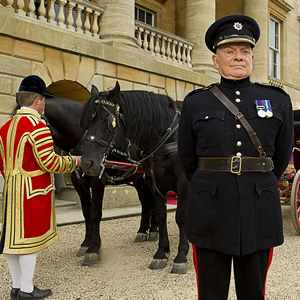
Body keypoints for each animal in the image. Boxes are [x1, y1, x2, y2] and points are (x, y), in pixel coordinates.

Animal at [12, 97, 158, 266]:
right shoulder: (78, 183)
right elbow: (86, 213)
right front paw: (86, 243)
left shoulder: (97, 181)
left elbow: (95, 213)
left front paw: (94, 248)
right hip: (138, 179)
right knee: (146, 202)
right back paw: (143, 231)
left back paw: (154, 230)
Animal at [79, 82, 190, 274]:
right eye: (86, 122)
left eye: (107, 120)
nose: (87, 163)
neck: (166, 137)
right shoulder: (154, 181)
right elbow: (161, 215)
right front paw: (161, 252)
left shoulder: (183, 182)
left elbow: (181, 216)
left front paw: (181, 255)